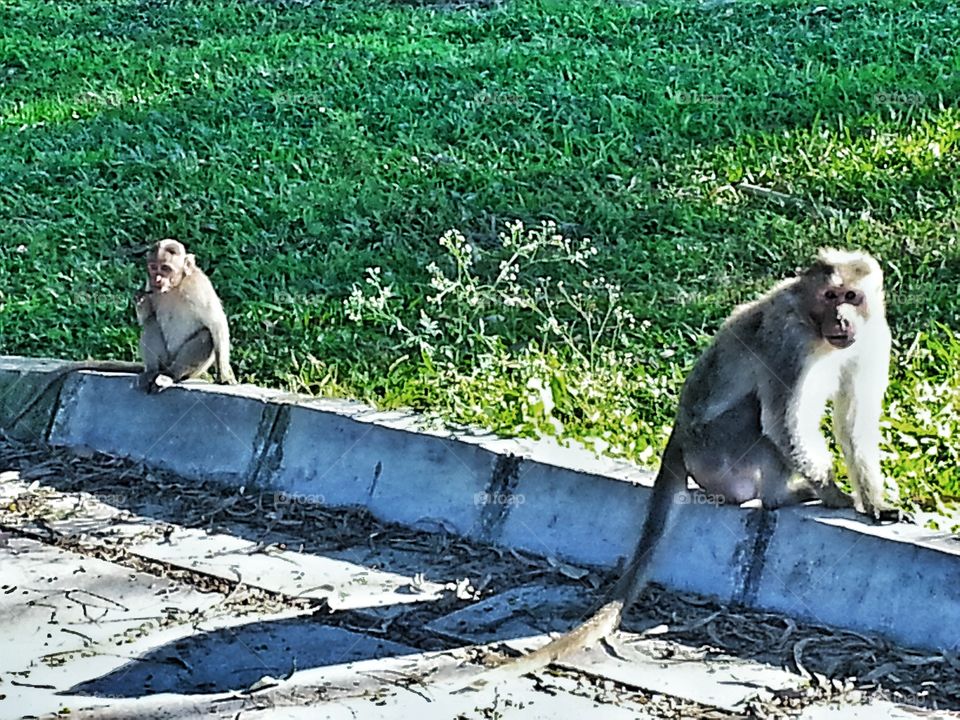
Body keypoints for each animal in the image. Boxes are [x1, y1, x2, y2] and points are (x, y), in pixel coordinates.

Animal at [4, 239, 237, 430]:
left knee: (205, 336)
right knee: (151, 325)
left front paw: (225, 375)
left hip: (188, 369)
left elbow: (217, 325)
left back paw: (169, 376)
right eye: (153, 268)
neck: (175, 286)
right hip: (163, 358)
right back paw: (151, 372)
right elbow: (148, 317)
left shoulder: (199, 287)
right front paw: (140, 300)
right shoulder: (149, 286)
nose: (157, 279)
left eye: (166, 268)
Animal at [465, 247, 899, 686]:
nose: (841, 319)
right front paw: (834, 493)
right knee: (759, 416)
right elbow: (782, 422)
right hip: (718, 449)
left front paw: (874, 502)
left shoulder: (874, 336)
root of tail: (677, 439)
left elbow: (856, 421)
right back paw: (783, 496)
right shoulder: (787, 342)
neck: (814, 325)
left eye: (851, 296)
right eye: (830, 296)